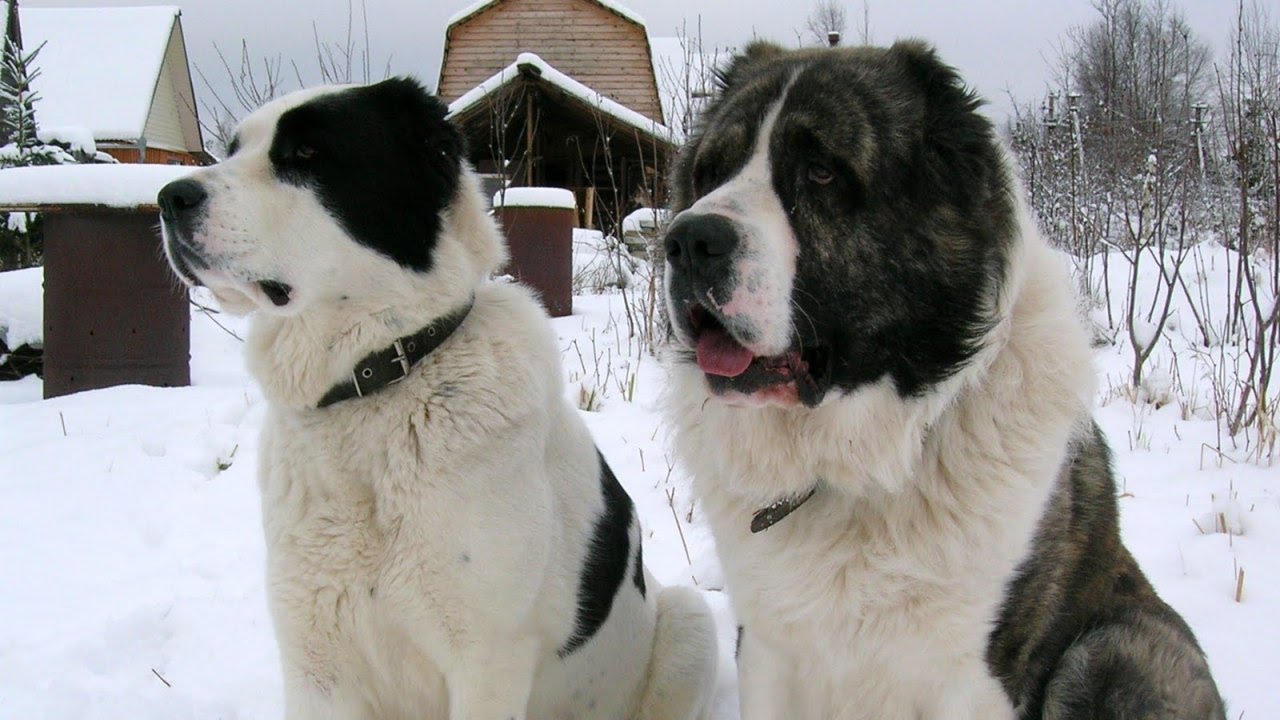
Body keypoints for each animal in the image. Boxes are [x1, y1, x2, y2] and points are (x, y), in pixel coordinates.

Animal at [665, 40, 1223, 717]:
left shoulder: (968, 677)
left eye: (821, 172)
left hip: (1117, 644)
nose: (689, 240)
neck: (860, 458)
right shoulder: (767, 647)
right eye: (710, 173)